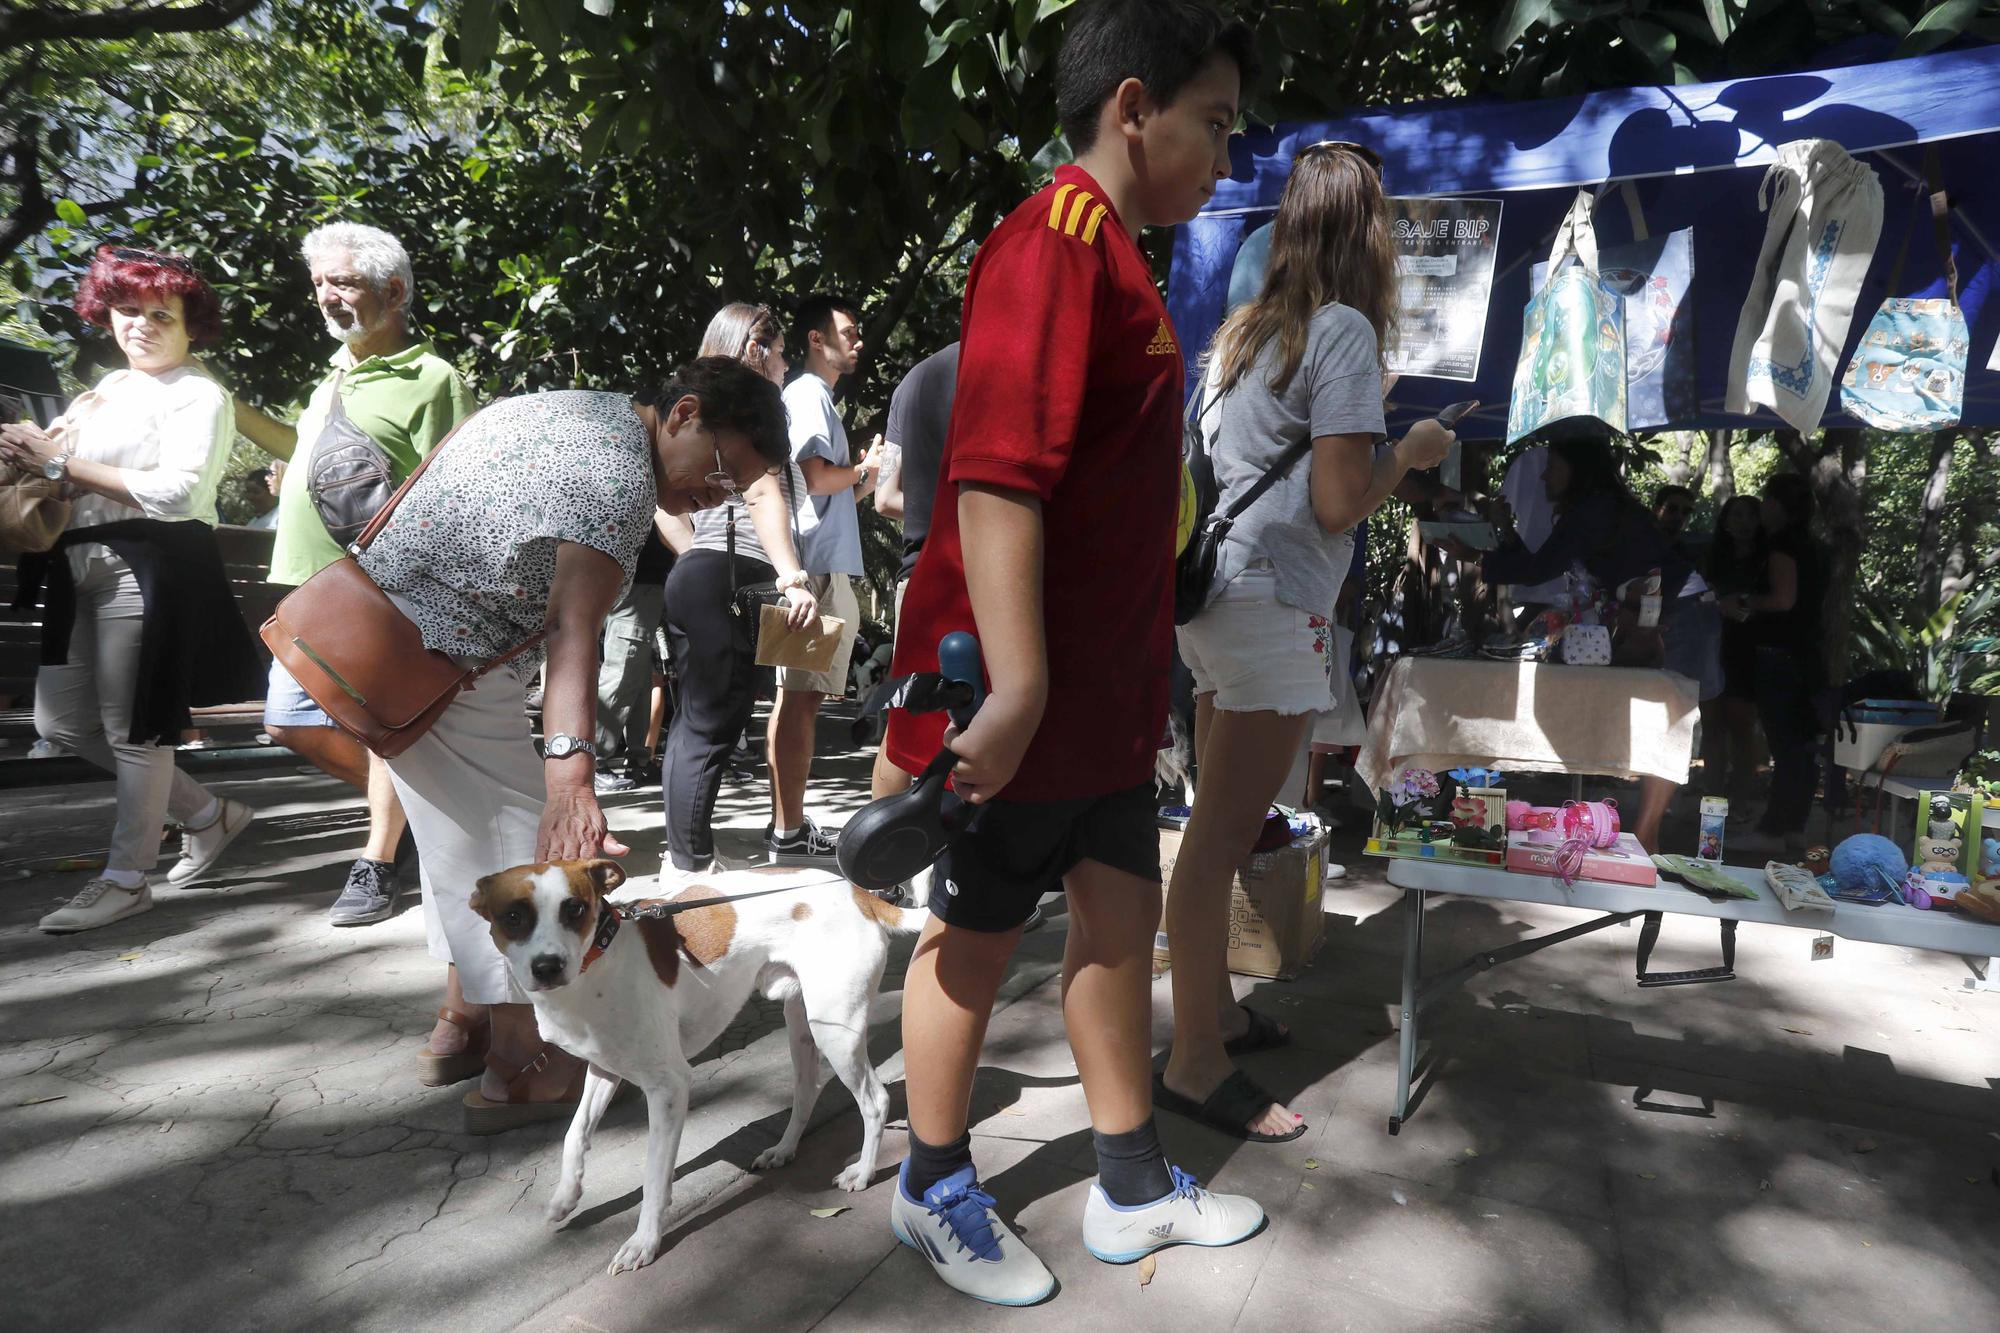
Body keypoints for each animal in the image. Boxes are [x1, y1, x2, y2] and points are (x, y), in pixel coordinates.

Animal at [472, 856, 924, 1272]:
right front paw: (566, 1197)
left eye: (575, 909)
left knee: (875, 1102)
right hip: (803, 1025)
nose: (547, 967)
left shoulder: (669, 1086)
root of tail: (858, 893)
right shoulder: (604, 1069)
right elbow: (574, 1133)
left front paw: (644, 1241)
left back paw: (862, 1172)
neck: (597, 963)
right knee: (807, 1090)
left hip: (836, 1030)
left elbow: (655, 1176)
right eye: (512, 917)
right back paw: (784, 1149)